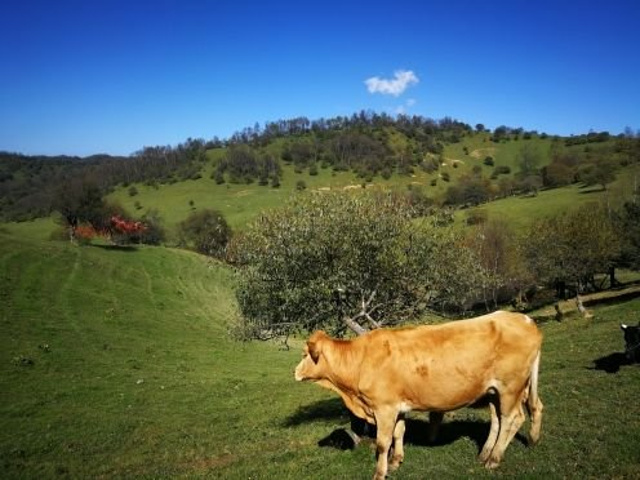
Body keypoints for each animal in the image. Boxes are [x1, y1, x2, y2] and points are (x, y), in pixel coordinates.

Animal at [294, 312, 540, 480]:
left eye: (305, 354)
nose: (294, 372)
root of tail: (523, 318)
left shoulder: (384, 408)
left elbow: (383, 442)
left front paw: (380, 472)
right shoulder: (398, 406)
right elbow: (399, 433)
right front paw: (396, 461)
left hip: (510, 388)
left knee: (512, 418)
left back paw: (494, 459)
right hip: (494, 392)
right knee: (501, 418)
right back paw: (491, 452)